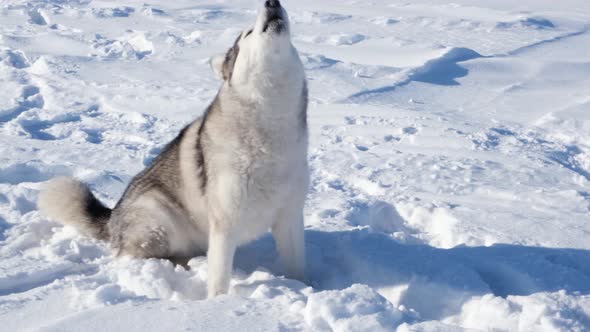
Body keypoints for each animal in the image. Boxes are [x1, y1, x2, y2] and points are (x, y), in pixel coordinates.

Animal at [37, 0, 308, 298]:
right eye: (248, 33)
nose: (272, 3)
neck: (271, 123)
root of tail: (112, 217)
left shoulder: (290, 217)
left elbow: (298, 267)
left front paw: (307, 287)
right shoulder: (224, 224)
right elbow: (219, 280)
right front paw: (219, 303)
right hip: (159, 220)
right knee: (132, 256)